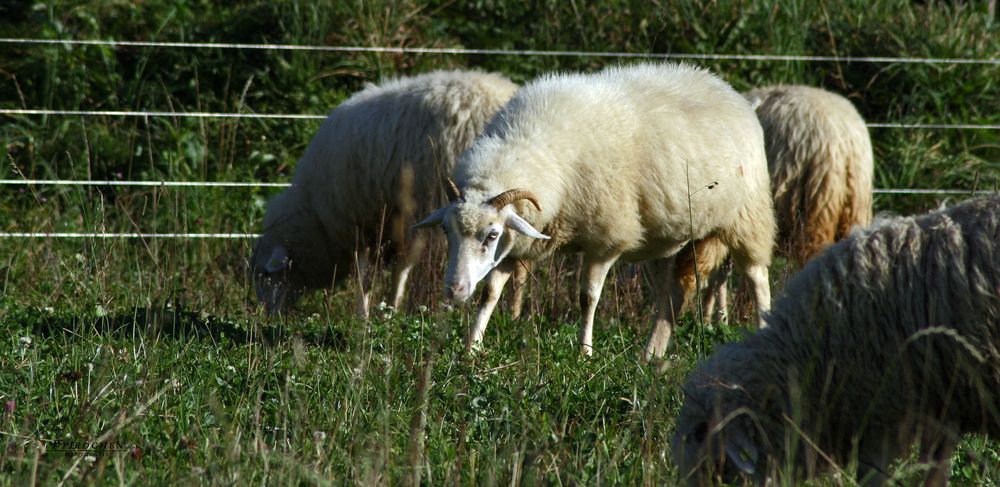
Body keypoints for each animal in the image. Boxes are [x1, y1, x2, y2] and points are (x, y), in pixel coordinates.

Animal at [252, 70, 516, 318]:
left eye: (265, 274)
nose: (266, 314)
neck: (316, 217)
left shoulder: (359, 220)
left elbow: (366, 274)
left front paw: (364, 314)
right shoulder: (397, 222)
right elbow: (401, 267)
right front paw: (391, 308)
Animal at [418, 62, 776, 358]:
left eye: (491, 235)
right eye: (447, 231)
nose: (453, 290)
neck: (534, 145)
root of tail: (724, 87)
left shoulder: (606, 239)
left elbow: (587, 298)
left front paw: (585, 353)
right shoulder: (520, 239)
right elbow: (490, 293)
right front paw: (472, 348)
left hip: (748, 215)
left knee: (757, 277)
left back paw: (763, 333)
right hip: (663, 238)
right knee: (670, 295)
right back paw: (650, 356)